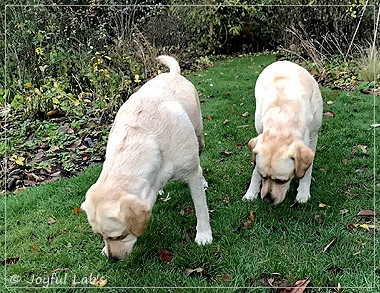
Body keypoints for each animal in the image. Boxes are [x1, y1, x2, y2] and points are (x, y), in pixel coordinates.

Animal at [80, 56, 212, 262]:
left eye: (119, 236)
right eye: (101, 236)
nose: (112, 259)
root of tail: (173, 74)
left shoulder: (191, 173)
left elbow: (201, 208)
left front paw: (204, 235)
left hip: (199, 138)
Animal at [245, 60, 322, 204]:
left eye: (282, 181)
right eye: (263, 176)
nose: (267, 200)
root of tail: (283, 61)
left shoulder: (312, 138)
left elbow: (307, 170)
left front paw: (303, 192)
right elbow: (255, 170)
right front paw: (251, 192)